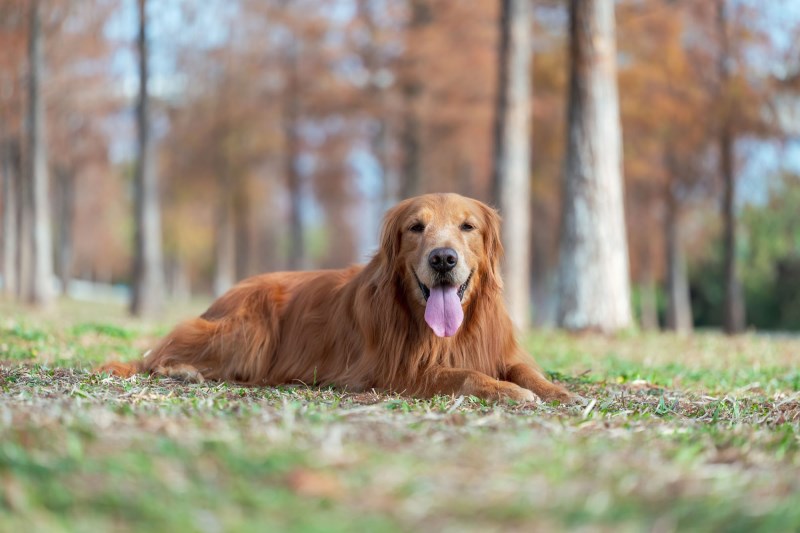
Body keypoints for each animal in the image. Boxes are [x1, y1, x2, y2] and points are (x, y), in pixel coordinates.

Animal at [98, 193, 576, 402]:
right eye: (416, 228)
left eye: (467, 226)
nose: (443, 259)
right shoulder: (395, 372)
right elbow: (466, 375)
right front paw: (508, 391)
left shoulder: (498, 348)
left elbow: (523, 369)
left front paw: (555, 390)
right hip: (246, 330)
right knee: (156, 353)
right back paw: (183, 371)